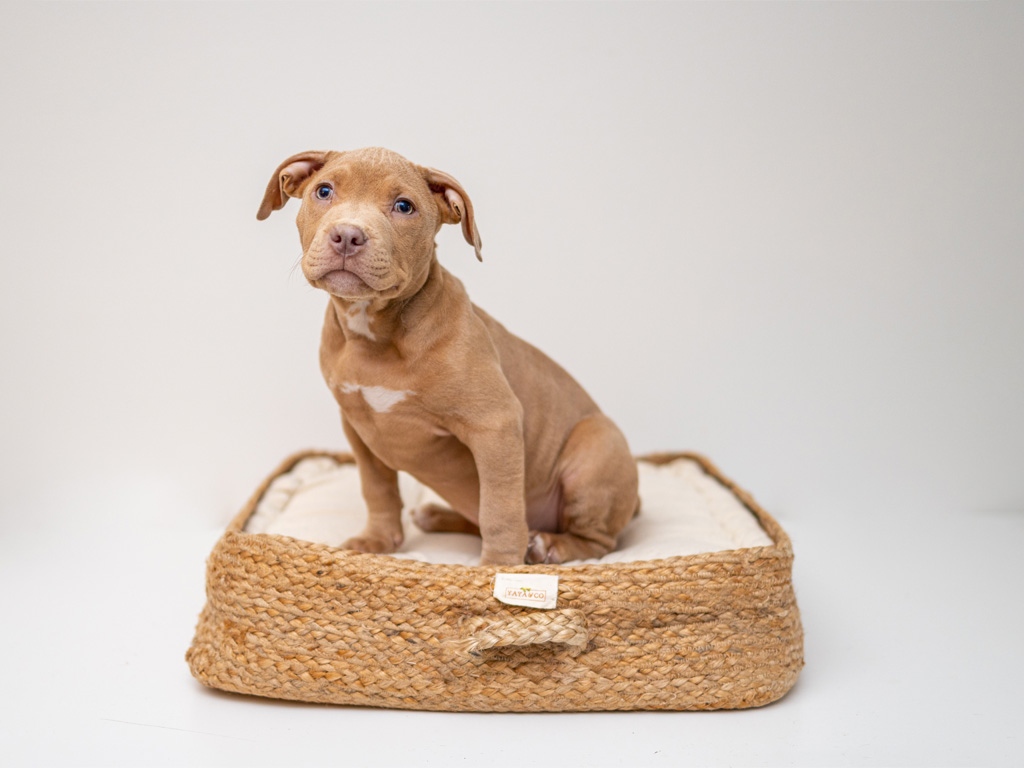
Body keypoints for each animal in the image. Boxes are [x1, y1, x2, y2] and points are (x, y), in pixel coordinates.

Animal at [258, 148, 638, 565]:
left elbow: (500, 508)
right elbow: (377, 488)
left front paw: (498, 566)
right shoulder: (357, 427)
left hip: (596, 448)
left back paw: (550, 545)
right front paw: (377, 540)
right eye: (324, 191)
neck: (375, 334)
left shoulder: (495, 424)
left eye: (403, 206)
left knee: (597, 541)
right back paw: (438, 515)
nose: (348, 235)